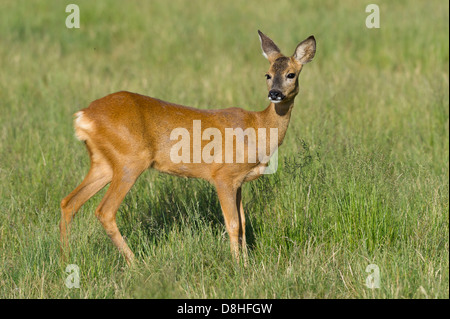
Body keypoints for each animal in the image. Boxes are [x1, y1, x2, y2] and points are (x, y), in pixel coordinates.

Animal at [59, 30, 316, 264]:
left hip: (103, 163)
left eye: (291, 74)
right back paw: (135, 263)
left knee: (68, 202)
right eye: (267, 74)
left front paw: (246, 262)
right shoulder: (223, 175)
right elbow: (233, 223)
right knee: (104, 211)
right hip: (129, 160)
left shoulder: (239, 181)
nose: (275, 94)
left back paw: (65, 259)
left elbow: (243, 223)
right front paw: (237, 266)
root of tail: (84, 116)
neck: (258, 125)